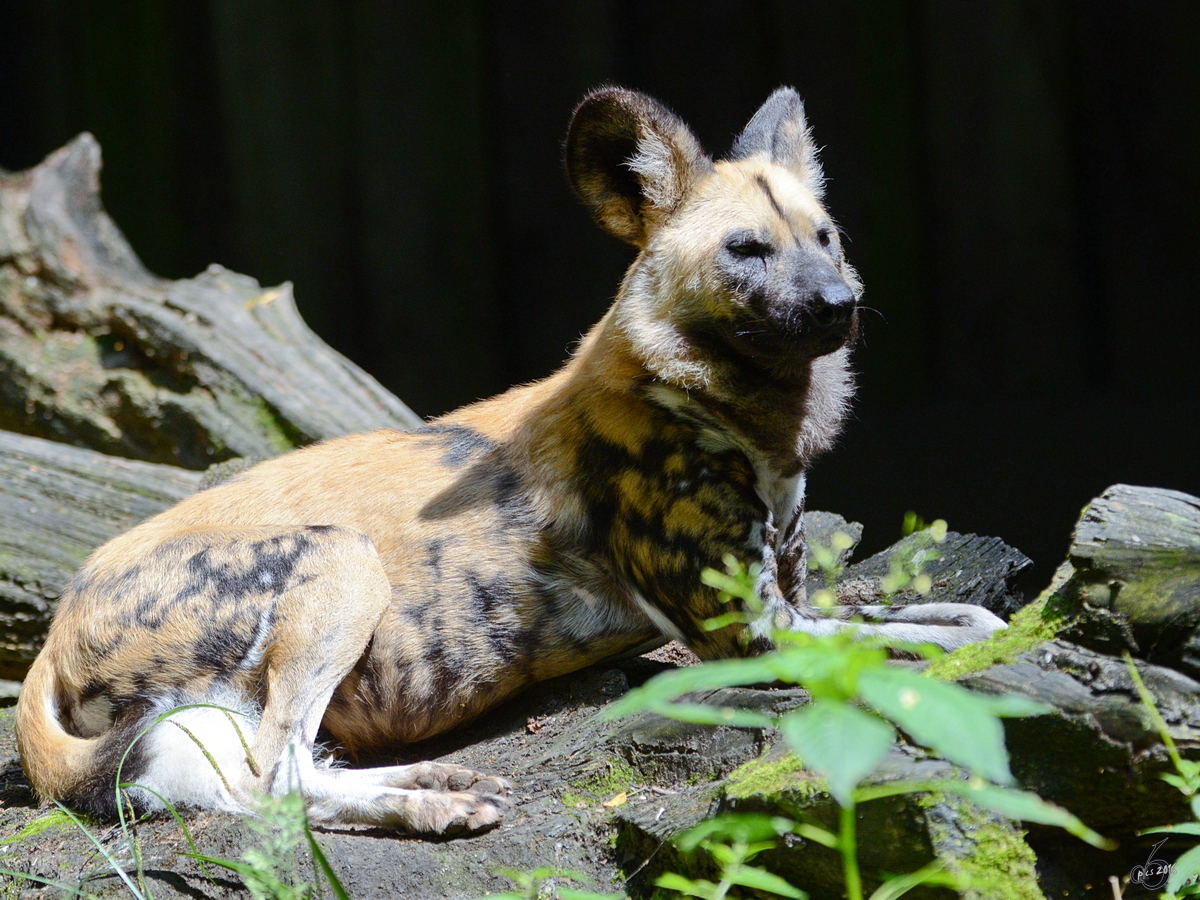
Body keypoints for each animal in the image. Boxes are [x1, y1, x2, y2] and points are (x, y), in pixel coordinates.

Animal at [16, 90, 1003, 840]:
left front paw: (985, 620)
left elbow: (940, 615)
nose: (842, 305)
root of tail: (58, 625)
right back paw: (426, 809)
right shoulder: (751, 632)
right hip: (338, 562)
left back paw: (440, 787)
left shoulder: (794, 595)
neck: (739, 418)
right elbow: (900, 645)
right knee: (273, 776)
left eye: (825, 237)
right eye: (745, 249)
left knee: (283, 769)